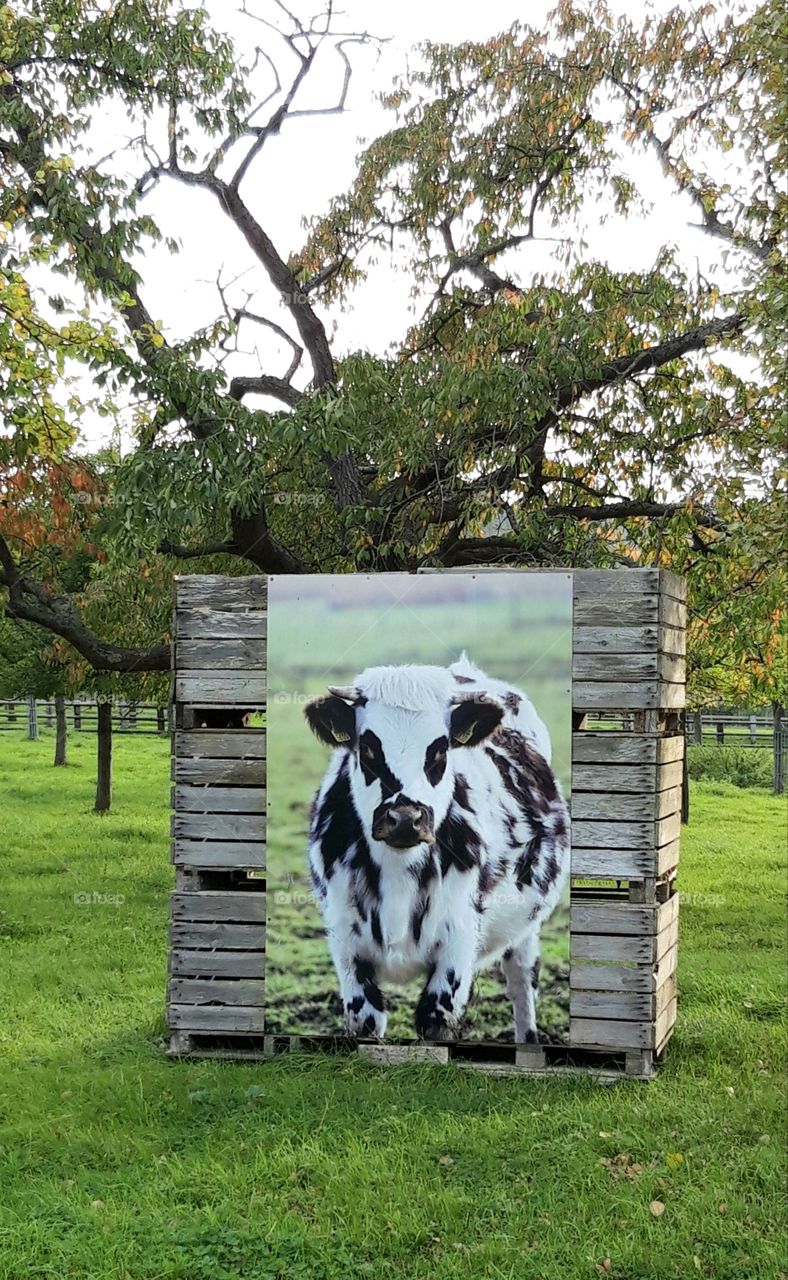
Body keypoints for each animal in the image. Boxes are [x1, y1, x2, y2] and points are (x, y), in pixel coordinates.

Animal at [303, 654, 570, 1043]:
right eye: (367, 748)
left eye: (440, 748)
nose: (404, 818)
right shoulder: (345, 942)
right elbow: (366, 1021)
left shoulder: (458, 941)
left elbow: (436, 1021)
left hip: (525, 927)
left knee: (522, 979)